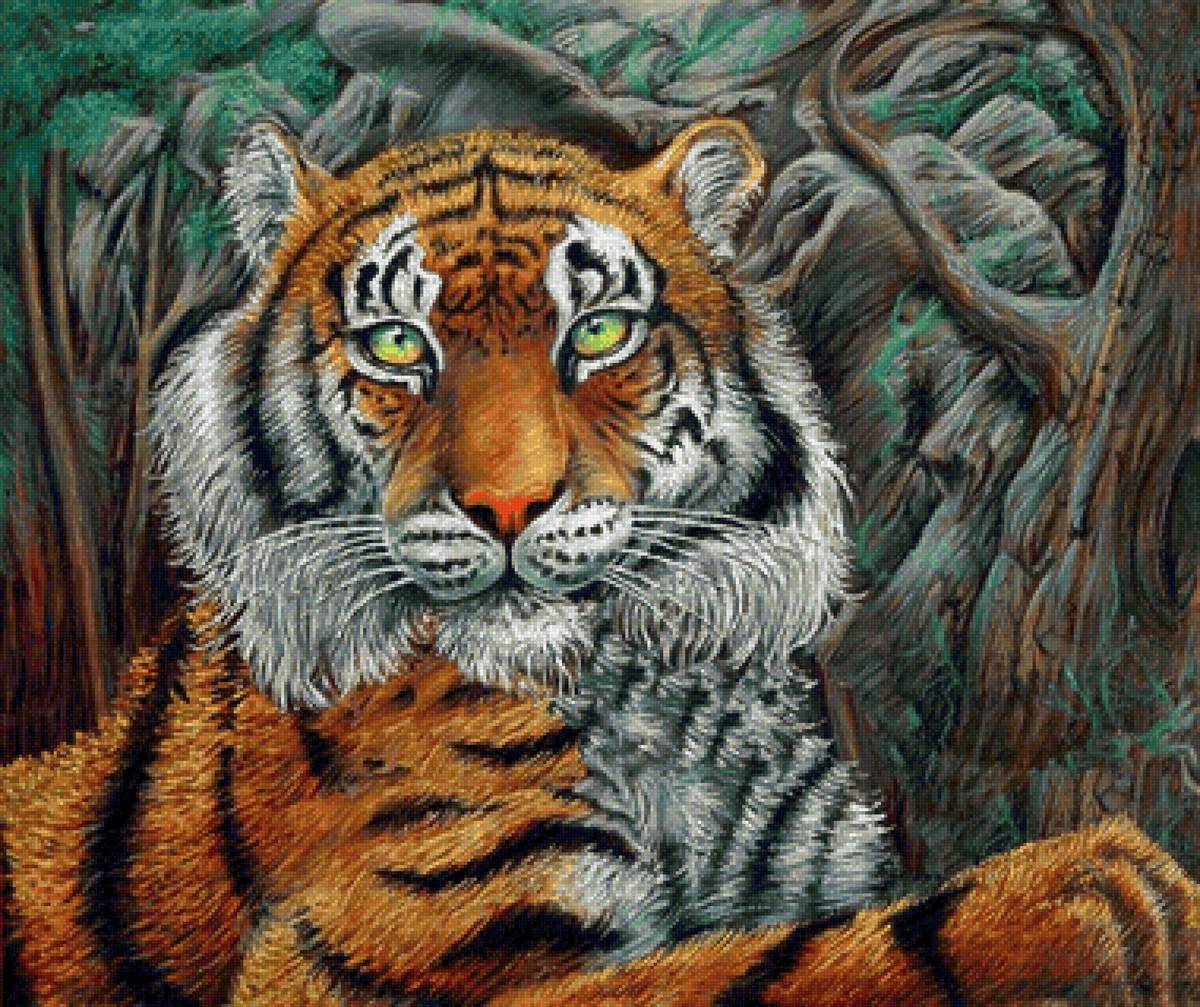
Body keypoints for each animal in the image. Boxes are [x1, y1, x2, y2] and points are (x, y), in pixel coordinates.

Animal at [2, 118, 1198, 1006]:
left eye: (599, 333)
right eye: (397, 344)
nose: (507, 505)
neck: (668, 699)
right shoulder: (400, 952)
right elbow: (781, 965)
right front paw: (1090, 895)